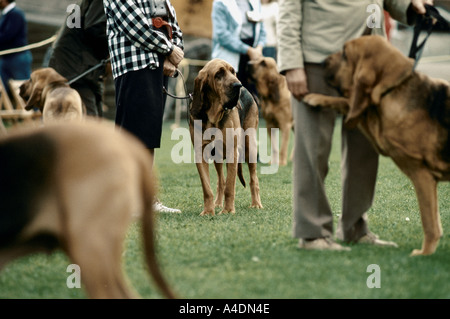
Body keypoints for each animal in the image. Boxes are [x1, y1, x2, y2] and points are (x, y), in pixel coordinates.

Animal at [189, 58, 264, 216]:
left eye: (233, 71)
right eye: (218, 74)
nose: (238, 85)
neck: (213, 117)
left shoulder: (232, 153)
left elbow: (230, 186)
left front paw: (228, 210)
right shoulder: (200, 154)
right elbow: (207, 188)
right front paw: (208, 211)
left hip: (250, 147)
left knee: (253, 179)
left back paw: (256, 204)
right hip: (217, 156)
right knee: (220, 181)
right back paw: (217, 204)